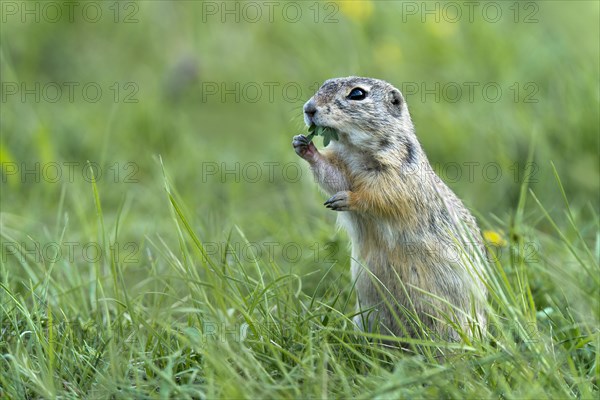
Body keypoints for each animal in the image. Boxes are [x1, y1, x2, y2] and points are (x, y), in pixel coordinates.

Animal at [292, 76, 488, 342]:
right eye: (324, 84)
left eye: (357, 94)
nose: (309, 109)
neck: (355, 149)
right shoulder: (344, 164)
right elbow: (334, 175)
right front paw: (303, 145)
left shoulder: (398, 170)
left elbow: (382, 195)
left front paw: (347, 199)